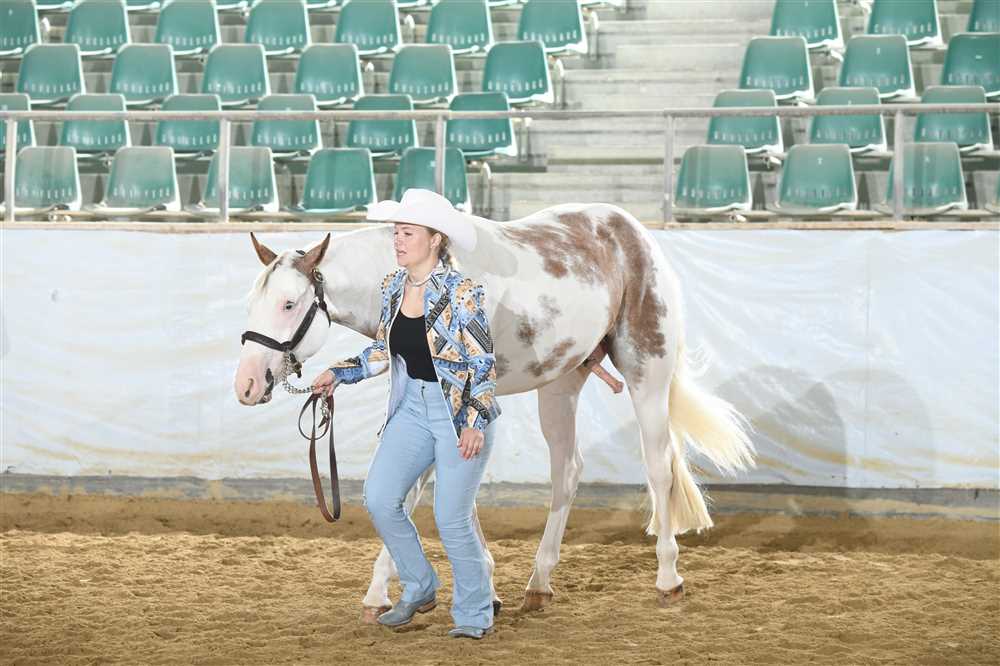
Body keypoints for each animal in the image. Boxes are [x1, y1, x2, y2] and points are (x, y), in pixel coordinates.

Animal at [234, 202, 755, 619]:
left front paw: (380, 592)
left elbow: (421, 491)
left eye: (288, 303)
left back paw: (668, 578)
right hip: (560, 384)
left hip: (648, 370)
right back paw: (539, 584)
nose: (246, 385)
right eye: (252, 302)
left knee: (658, 467)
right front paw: (484, 584)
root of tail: (634, 233)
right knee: (568, 470)